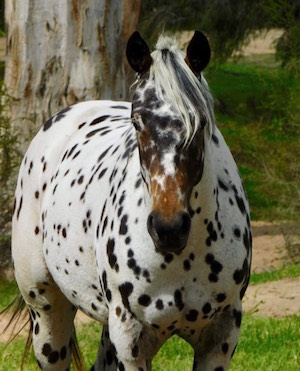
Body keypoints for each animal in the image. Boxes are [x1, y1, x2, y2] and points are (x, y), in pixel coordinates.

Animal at [11, 32, 251, 371]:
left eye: (201, 122)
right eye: (137, 122)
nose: (169, 227)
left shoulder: (220, 337)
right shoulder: (131, 339)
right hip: (47, 313)